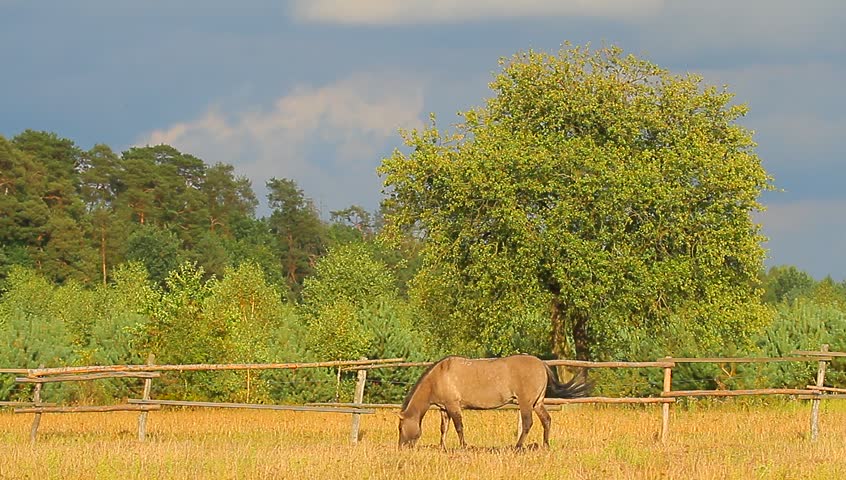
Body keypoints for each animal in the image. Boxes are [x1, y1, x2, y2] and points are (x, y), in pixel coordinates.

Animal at [398, 354, 591, 449]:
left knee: (527, 423)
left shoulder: (453, 406)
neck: (439, 376)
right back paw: (545, 445)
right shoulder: (444, 408)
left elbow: (459, 427)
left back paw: (518, 447)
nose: (401, 447)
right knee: (547, 420)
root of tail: (542, 364)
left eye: (400, 428)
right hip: (537, 403)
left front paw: (463, 447)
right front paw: (442, 447)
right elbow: (444, 429)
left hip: (526, 403)